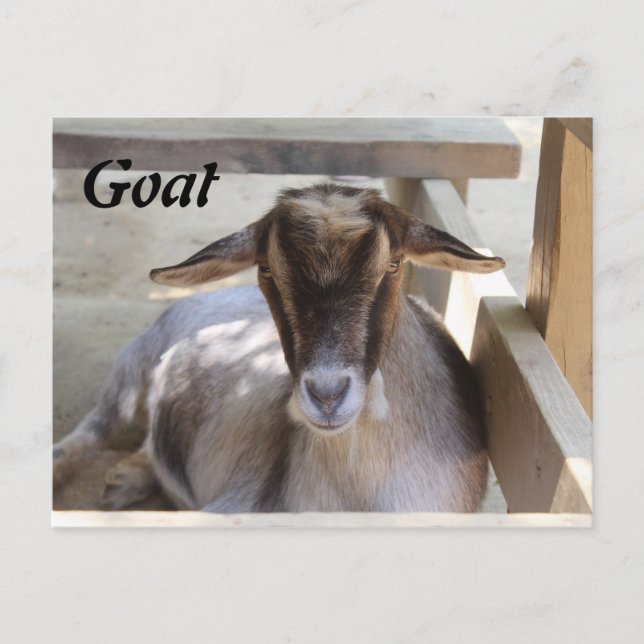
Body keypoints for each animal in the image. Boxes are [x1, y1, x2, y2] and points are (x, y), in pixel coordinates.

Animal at [53, 183, 505, 512]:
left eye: (393, 264)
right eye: (266, 268)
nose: (327, 396)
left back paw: (126, 479)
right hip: (132, 363)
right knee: (92, 429)